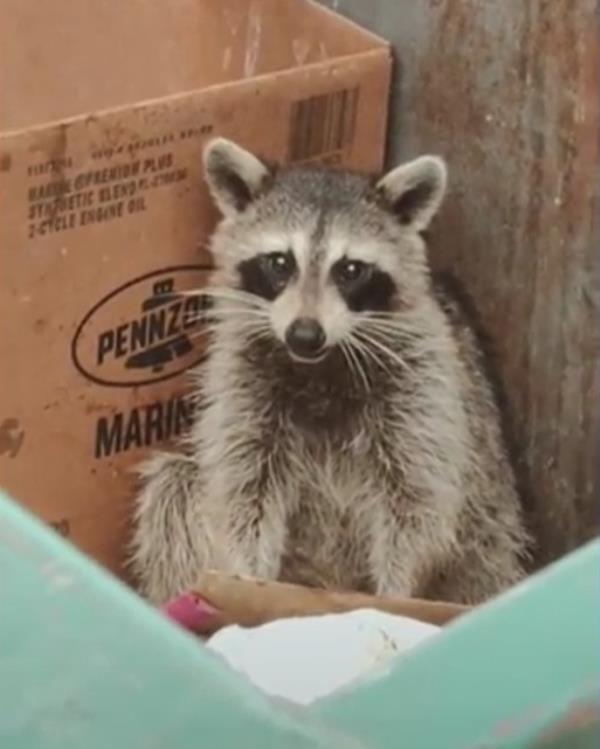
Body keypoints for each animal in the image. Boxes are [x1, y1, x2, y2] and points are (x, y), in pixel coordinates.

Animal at [130, 139, 528, 608]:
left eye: (350, 269)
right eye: (280, 262)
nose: (304, 334)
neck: (319, 365)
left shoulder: (424, 381)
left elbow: (417, 503)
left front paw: (396, 591)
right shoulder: (241, 379)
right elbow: (244, 492)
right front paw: (246, 578)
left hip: (490, 535)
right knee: (174, 486)